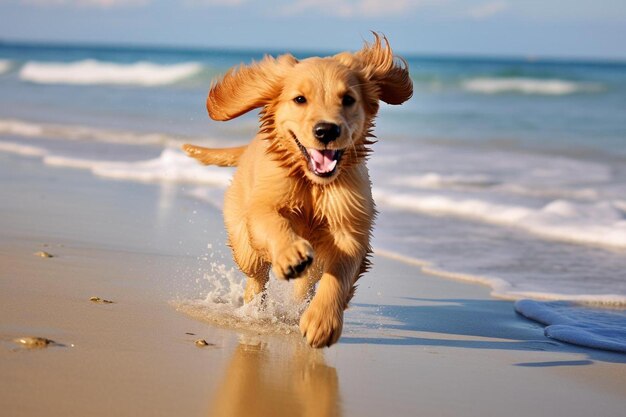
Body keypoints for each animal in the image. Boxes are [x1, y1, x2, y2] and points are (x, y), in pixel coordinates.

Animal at [183, 34, 412, 346]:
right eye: (300, 99)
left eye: (348, 99)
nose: (326, 131)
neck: (312, 183)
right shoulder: (263, 205)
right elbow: (273, 222)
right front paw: (291, 255)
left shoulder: (349, 229)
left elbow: (339, 274)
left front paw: (322, 321)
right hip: (245, 244)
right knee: (256, 276)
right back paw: (255, 309)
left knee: (304, 286)